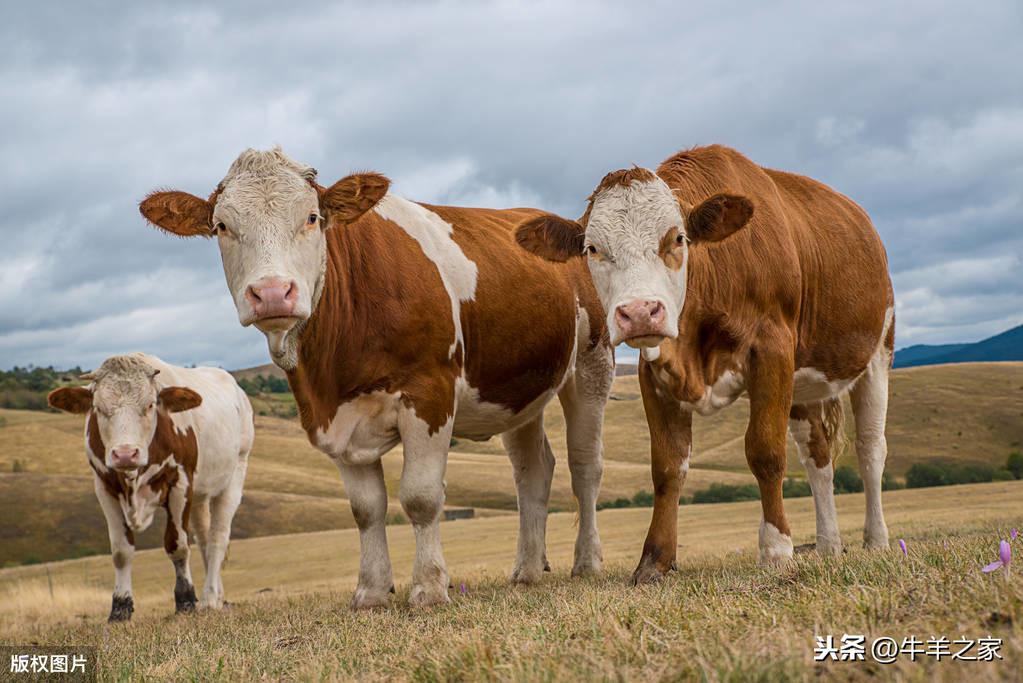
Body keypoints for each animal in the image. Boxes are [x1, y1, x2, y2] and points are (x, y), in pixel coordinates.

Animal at [46, 355, 255, 621]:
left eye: (150, 405)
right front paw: (120, 607)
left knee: (218, 537)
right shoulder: (104, 488)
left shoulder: (179, 483)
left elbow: (178, 546)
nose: (125, 454)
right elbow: (121, 551)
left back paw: (209, 598)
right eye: (99, 408)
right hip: (200, 494)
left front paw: (186, 600)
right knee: (205, 538)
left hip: (234, 477)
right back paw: (218, 596)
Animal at [139, 148, 609, 609]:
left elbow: (420, 497)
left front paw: (429, 587)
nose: (272, 293)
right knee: (532, 470)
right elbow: (365, 509)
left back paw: (586, 562)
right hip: (518, 392)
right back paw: (527, 570)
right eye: (222, 225)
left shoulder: (429, 394)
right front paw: (372, 591)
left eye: (312, 217)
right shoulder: (334, 417)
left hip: (592, 364)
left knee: (584, 464)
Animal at [515, 144, 892, 580]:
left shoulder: (773, 351)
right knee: (817, 456)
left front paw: (776, 548)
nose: (640, 312)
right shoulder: (654, 371)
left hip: (879, 350)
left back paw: (877, 539)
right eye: (592, 248)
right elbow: (667, 466)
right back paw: (829, 545)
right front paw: (655, 560)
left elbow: (765, 451)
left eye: (677, 238)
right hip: (803, 385)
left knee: (871, 448)